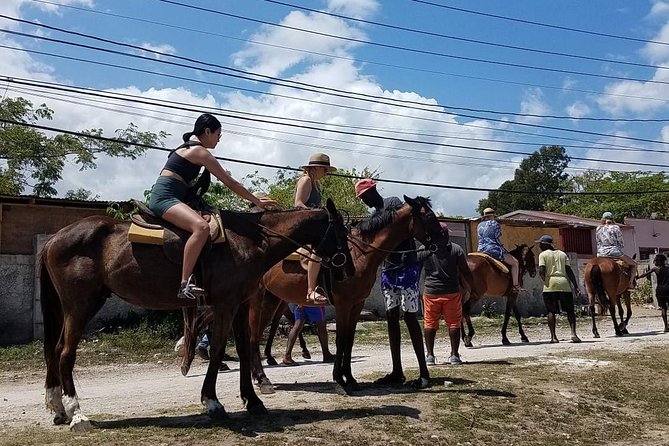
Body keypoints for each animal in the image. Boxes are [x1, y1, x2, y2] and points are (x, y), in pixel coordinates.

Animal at [39, 200, 352, 430]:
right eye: (341, 231)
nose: (346, 267)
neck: (248, 241)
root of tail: (54, 238)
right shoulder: (226, 305)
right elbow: (217, 349)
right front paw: (212, 401)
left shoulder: (240, 304)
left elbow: (242, 348)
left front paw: (252, 401)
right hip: (80, 305)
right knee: (65, 352)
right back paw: (77, 413)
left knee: (54, 350)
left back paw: (58, 408)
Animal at [245, 195, 444, 394]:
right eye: (430, 217)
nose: (444, 239)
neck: (360, 255)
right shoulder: (343, 304)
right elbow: (340, 340)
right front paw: (339, 380)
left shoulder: (357, 305)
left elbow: (349, 340)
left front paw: (350, 378)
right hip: (258, 302)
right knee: (254, 337)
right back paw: (262, 379)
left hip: (272, 301)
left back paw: (259, 376)